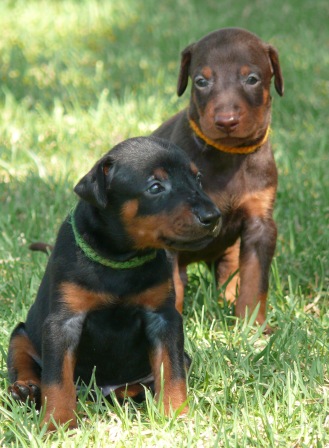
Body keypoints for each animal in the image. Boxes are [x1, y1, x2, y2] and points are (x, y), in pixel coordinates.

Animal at [6, 137, 220, 430]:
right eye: (155, 187)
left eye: (198, 179)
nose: (213, 216)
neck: (119, 260)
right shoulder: (63, 322)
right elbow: (57, 380)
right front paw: (57, 423)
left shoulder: (164, 318)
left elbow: (172, 371)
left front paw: (177, 415)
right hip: (21, 333)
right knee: (24, 358)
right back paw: (26, 389)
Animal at [152, 28, 284, 328]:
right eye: (201, 81)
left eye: (252, 79)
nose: (226, 120)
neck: (228, 155)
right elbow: (173, 286)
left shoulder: (260, 223)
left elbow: (254, 279)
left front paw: (252, 326)